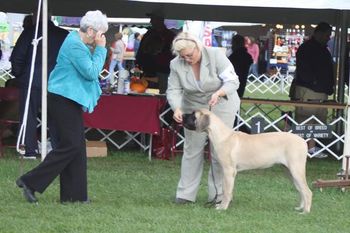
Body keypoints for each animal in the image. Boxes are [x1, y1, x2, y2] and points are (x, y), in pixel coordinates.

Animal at [183, 109, 312, 213]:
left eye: (193, 115)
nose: (182, 115)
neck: (221, 135)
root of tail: (303, 141)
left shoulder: (229, 171)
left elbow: (226, 191)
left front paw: (223, 207)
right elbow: (227, 190)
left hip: (296, 170)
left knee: (307, 191)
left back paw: (305, 211)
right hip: (290, 172)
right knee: (301, 190)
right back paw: (300, 207)